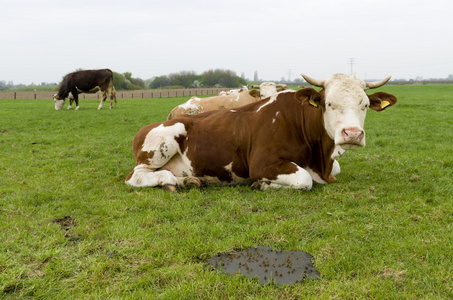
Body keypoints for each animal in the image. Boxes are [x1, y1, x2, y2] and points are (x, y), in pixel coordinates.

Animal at [126, 74, 396, 193]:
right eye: (329, 103)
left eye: (364, 104)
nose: (353, 134)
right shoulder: (263, 163)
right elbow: (304, 180)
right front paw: (263, 184)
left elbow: (335, 169)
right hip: (164, 142)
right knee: (136, 177)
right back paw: (171, 181)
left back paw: (189, 180)